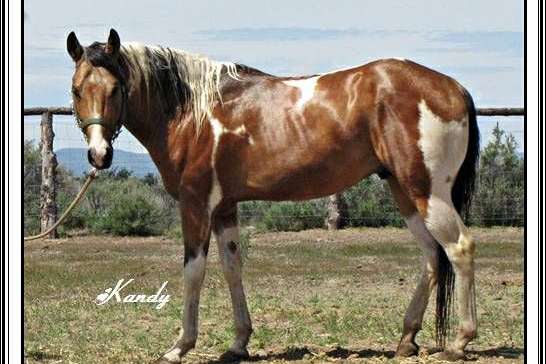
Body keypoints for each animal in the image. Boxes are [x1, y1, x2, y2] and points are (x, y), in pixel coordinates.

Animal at [66, 29, 478, 364]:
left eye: (115, 89)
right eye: (76, 89)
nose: (99, 155)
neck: (194, 112)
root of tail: (453, 87)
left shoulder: (196, 203)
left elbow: (194, 271)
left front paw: (180, 345)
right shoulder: (225, 207)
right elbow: (232, 267)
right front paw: (238, 343)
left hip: (427, 192)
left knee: (459, 248)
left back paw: (459, 342)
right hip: (404, 191)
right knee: (431, 256)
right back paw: (407, 338)